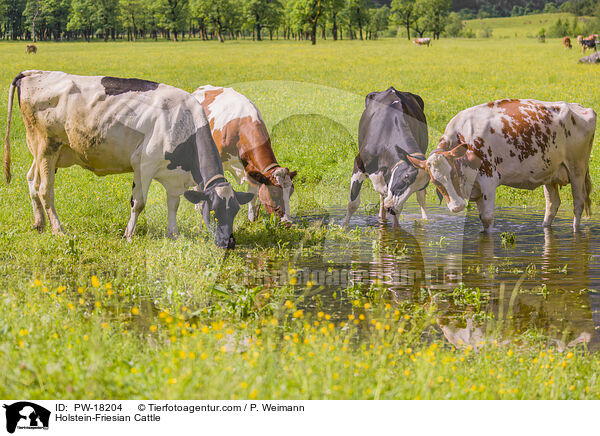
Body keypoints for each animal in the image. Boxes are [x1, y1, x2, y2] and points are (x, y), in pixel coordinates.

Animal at [4, 70, 253, 249]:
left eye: (235, 211)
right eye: (214, 211)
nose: (229, 243)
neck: (184, 123)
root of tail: (32, 73)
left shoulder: (174, 175)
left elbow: (173, 202)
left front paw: (173, 234)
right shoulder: (144, 164)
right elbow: (138, 203)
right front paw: (129, 235)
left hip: (43, 152)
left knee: (32, 181)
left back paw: (39, 223)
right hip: (47, 147)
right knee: (45, 190)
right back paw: (58, 229)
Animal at [192, 84, 296, 225]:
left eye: (290, 192)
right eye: (274, 192)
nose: (287, 222)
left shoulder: (251, 169)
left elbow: (253, 195)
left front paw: (252, 219)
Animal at [342, 86, 432, 228]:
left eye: (420, 185)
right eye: (406, 176)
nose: (391, 208)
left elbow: (399, 210)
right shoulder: (359, 164)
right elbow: (353, 203)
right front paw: (343, 227)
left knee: (420, 199)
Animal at [408, 99, 596, 233]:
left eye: (453, 173)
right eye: (435, 182)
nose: (457, 207)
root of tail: (578, 107)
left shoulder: (488, 181)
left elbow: (487, 218)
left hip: (577, 170)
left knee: (578, 204)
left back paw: (575, 230)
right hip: (550, 173)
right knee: (552, 205)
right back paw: (544, 227)